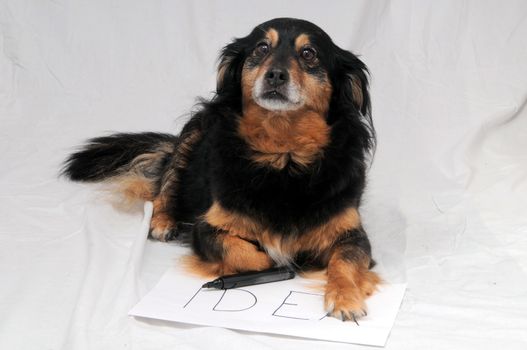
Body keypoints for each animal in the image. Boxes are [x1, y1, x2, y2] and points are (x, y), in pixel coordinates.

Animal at [63, 17, 380, 322]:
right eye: (261, 48)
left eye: (309, 53)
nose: (275, 74)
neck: (283, 157)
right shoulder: (207, 227)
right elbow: (251, 255)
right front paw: (284, 264)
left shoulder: (352, 233)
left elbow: (346, 261)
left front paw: (345, 298)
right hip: (193, 133)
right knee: (165, 185)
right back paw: (163, 221)